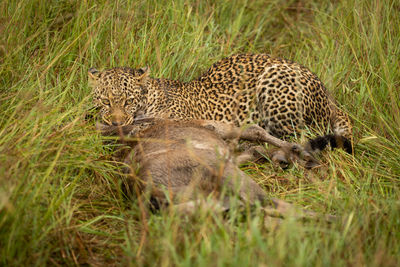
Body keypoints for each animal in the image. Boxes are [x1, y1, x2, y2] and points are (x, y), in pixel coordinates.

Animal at [88, 53, 354, 154]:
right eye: (105, 101)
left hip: (276, 81)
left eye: (128, 101)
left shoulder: (181, 119)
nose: (116, 123)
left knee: (297, 136)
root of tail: (331, 100)